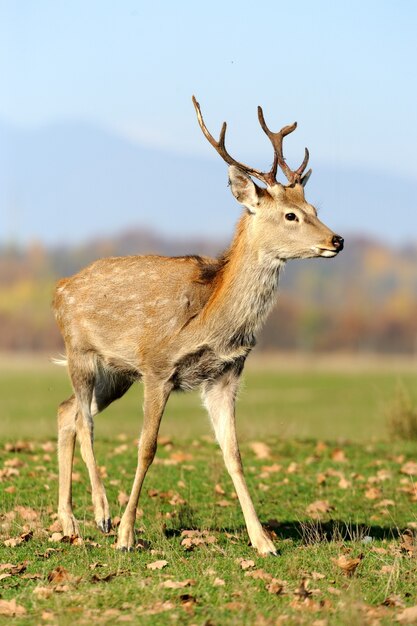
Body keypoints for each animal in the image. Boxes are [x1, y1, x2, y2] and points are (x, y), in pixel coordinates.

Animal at [52, 95, 342, 552]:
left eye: (315, 208)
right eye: (291, 216)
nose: (337, 240)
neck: (210, 319)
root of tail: (59, 288)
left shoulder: (225, 375)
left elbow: (234, 454)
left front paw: (263, 541)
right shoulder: (157, 367)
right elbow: (147, 447)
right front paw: (127, 535)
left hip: (117, 373)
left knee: (67, 412)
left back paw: (68, 521)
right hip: (80, 352)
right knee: (85, 421)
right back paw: (101, 514)